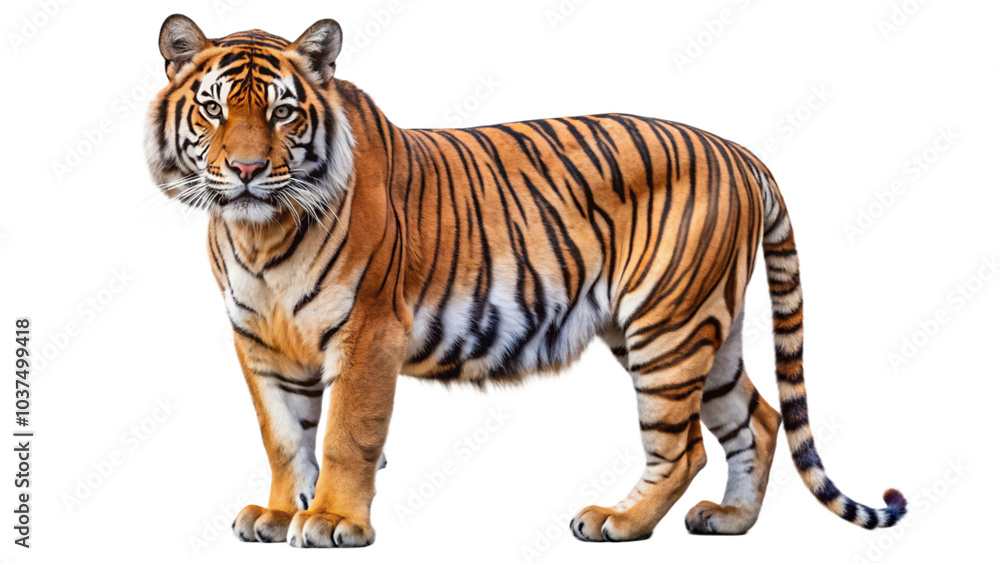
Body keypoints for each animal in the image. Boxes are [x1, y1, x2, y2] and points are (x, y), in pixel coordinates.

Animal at [145, 14, 907, 547]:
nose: (245, 170)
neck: (260, 232)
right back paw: (730, 519)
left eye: (282, 111)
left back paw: (619, 521)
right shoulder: (261, 342)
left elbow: (344, 435)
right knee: (760, 416)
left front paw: (333, 521)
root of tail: (743, 151)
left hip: (667, 324)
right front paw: (278, 514)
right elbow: (283, 436)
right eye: (214, 109)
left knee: (682, 443)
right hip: (703, 327)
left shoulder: (369, 332)